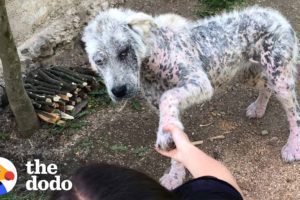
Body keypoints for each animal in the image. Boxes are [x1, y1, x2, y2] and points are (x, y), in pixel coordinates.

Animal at [83, 7, 300, 190]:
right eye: (99, 61)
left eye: (124, 51)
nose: (118, 91)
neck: (155, 57)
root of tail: (276, 15)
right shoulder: (165, 106)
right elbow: (175, 139)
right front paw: (175, 175)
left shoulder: (199, 83)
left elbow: (168, 96)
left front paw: (164, 139)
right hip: (252, 73)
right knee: (267, 88)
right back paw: (259, 108)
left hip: (280, 79)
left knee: (294, 113)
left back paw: (293, 146)